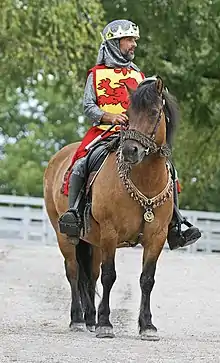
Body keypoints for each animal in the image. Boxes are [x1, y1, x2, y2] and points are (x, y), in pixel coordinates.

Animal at [43, 76, 179, 342]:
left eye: (154, 112)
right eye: (128, 114)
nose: (130, 151)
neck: (145, 183)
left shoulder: (156, 237)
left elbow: (147, 279)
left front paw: (147, 325)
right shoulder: (109, 232)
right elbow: (109, 275)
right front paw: (106, 323)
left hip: (92, 241)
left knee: (89, 276)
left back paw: (90, 319)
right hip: (66, 235)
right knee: (74, 272)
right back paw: (78, 319)